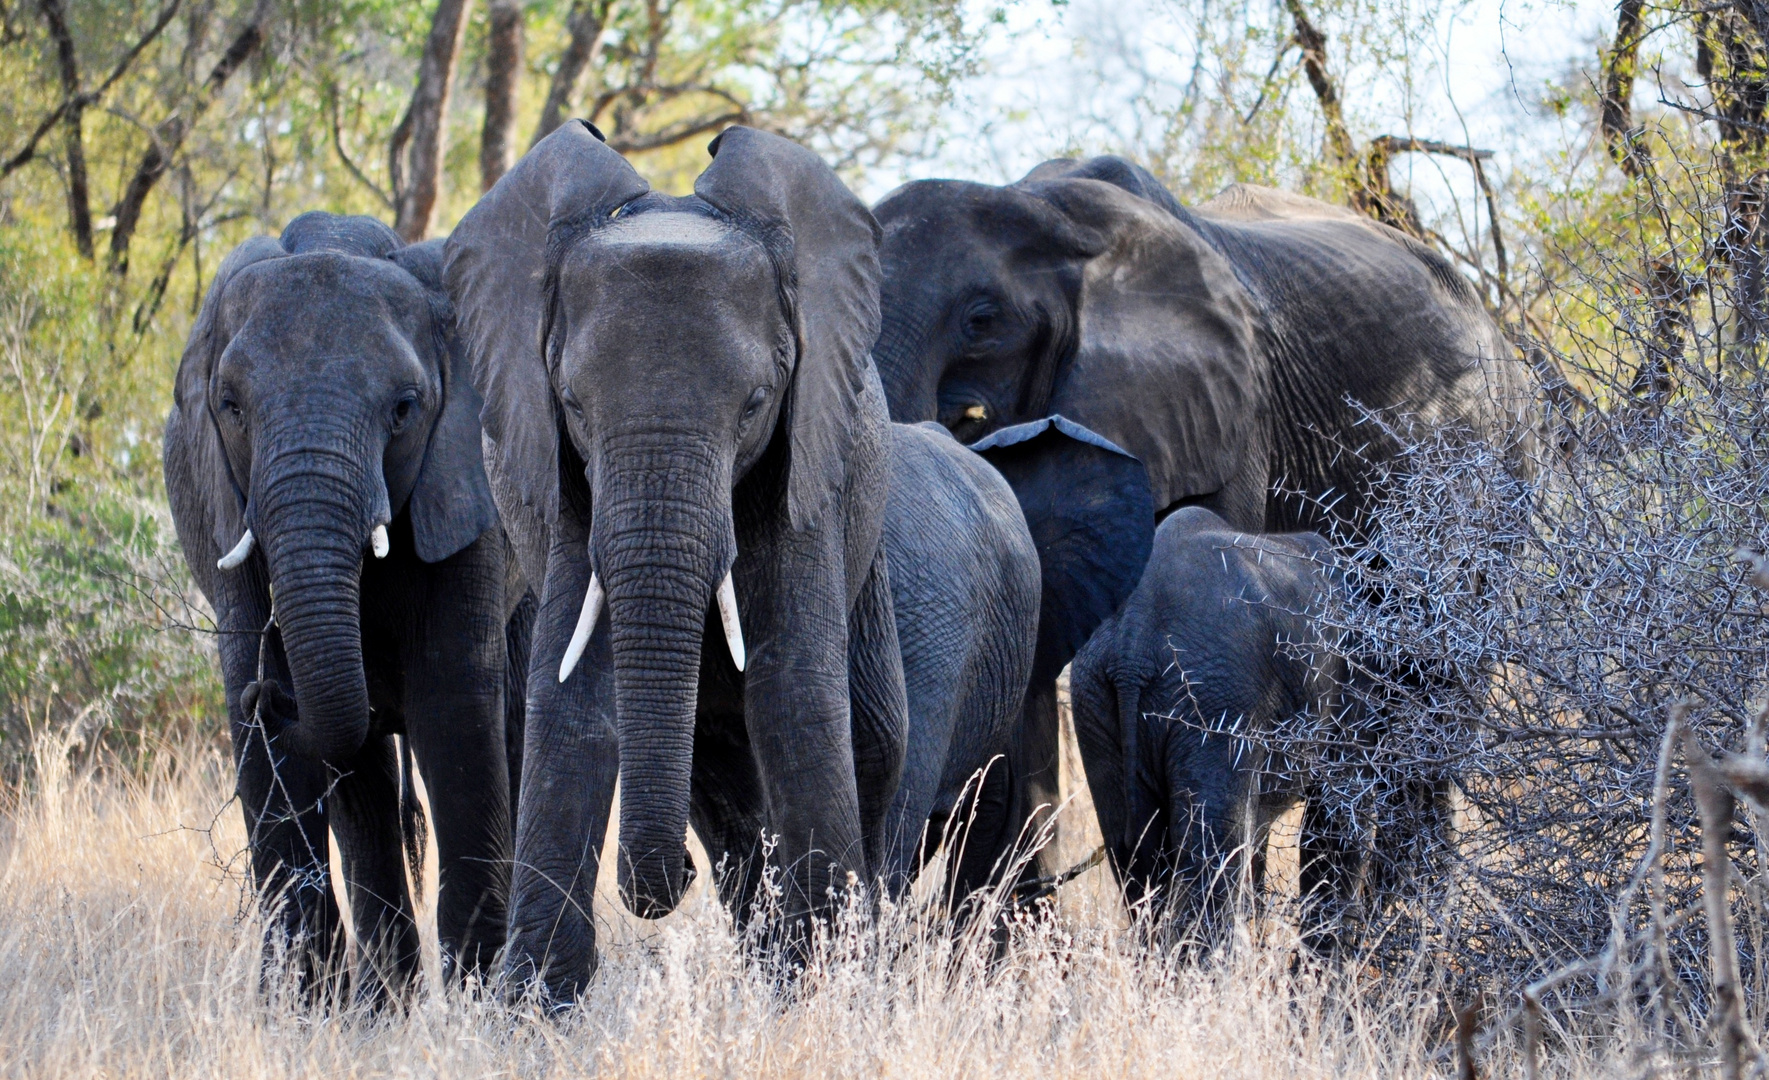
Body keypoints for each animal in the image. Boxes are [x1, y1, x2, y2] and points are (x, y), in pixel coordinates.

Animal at [163, 212, 523, 1003]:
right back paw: (381, 1009)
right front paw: (295, 1013)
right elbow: (267, 751)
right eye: (231, 407)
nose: (276, 692)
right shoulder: (222, 501)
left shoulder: (464, 484)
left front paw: (481, 1007)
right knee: (364, 781)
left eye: (404, 410)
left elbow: (454, 710)